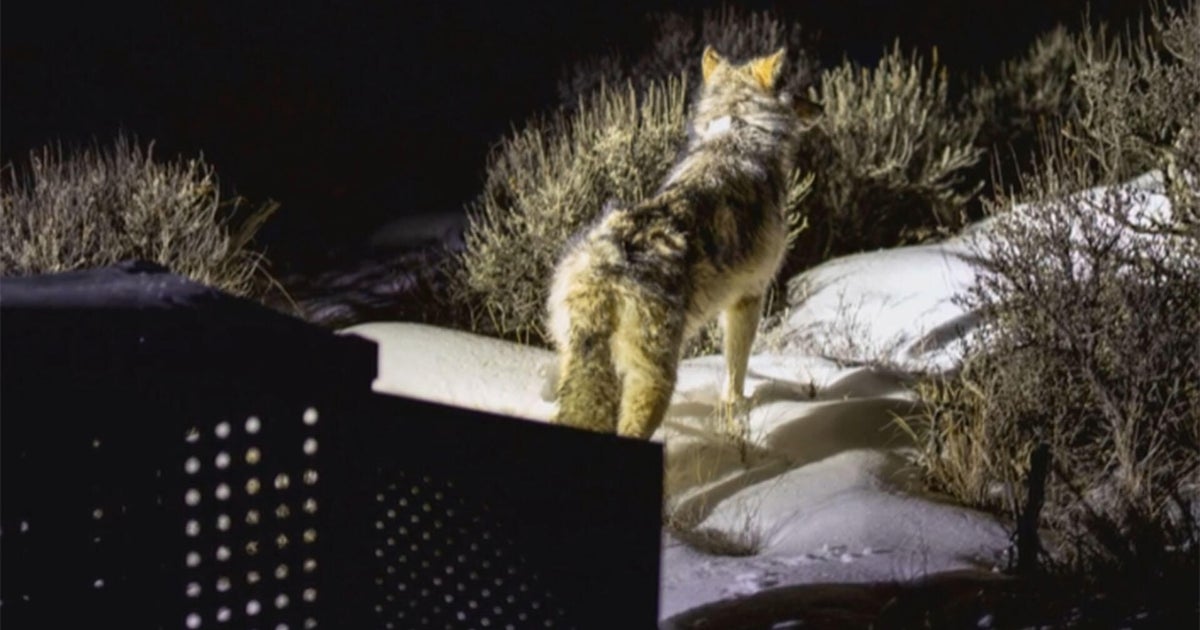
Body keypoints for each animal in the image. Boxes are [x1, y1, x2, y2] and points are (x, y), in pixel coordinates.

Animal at [547, 46, 822, 439]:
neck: (739, 131)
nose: (821, 108)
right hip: (655, 382)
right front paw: (737, 414)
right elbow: (735, 371)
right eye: (793, 87)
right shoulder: (748, 298)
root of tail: (603, 265)